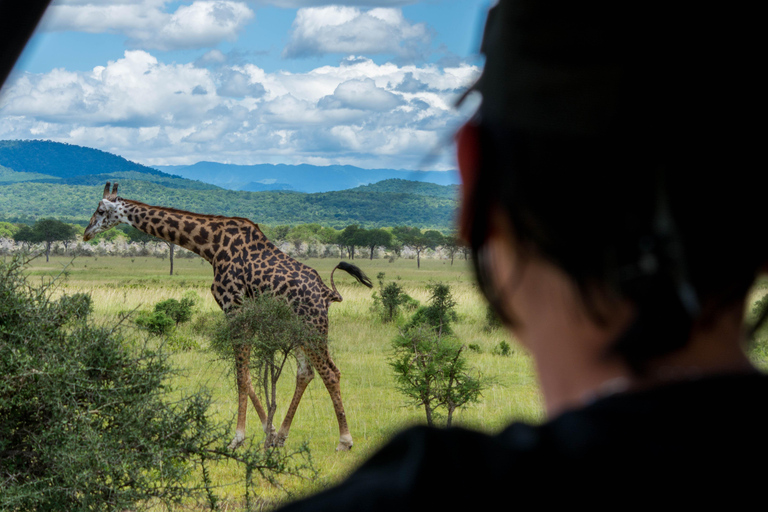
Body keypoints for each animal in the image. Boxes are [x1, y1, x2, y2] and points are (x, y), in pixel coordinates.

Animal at [83, 182, 372, 450]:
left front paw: (237, 438)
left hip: (312, 325)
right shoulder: (237, 311)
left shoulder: (233, 306)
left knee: (330, 372)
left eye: (100, 211)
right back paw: (281, 436)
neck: (210, 246)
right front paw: (268, 429)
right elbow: (246, 375)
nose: (86, 233)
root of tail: (325, 292)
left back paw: (344, 440)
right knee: (306, 372)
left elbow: (241, 375)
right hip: (293, 326)